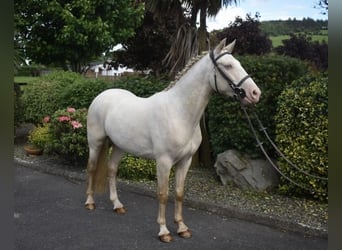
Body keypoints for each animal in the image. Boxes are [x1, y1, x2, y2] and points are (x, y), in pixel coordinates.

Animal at [84, 39, 260, 242]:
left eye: (238, 63)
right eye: (228, 65)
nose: (255, 93)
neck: (179, 112)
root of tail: (102, 96)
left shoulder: (185, 161)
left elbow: (179, 193)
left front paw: (182, 228)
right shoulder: (164, 161)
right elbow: (162, 194)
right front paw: (164, 231)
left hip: (120, 146)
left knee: (112, 170)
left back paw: (117, 205)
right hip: (95, 143)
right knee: (91, 168)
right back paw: (90, 202)